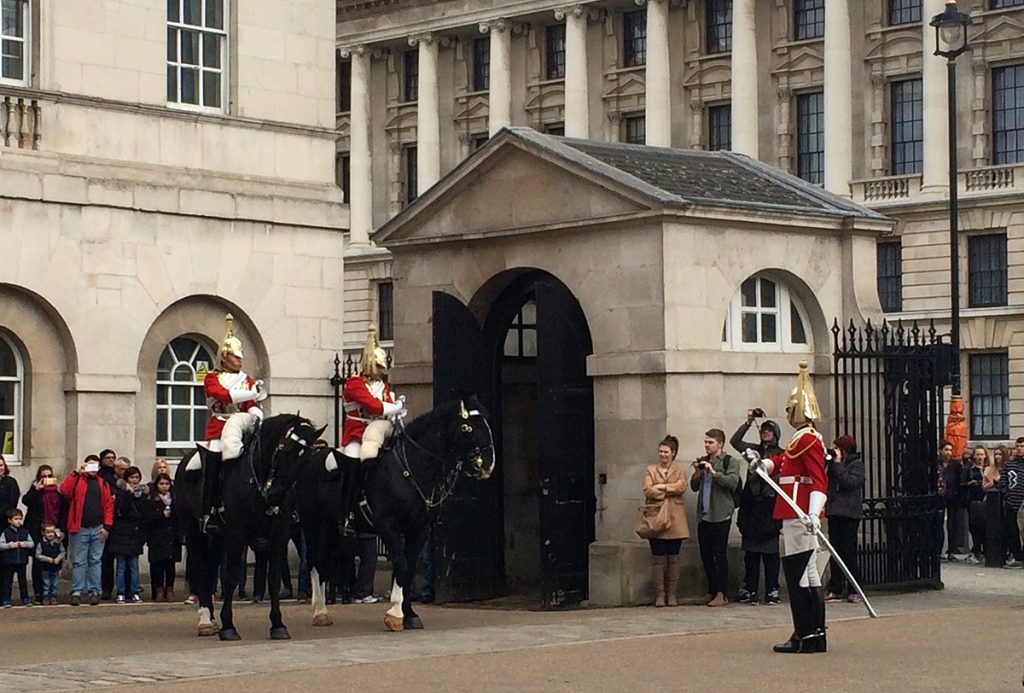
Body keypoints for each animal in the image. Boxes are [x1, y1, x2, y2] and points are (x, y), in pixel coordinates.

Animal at [172, 413, 323, 638]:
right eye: (284, 449)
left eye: (305, 461)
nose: (274, 496)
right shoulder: (237, 534)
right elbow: (231, 577)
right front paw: (228, 626)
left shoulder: (279, 535)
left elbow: (273, 579)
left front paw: (278, 624)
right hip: (193, 531)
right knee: (199, 568)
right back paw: (205, 621)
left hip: (217, 537)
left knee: (210, 571)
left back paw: (211, 618)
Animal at [296, 397, 495, 630]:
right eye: (467, 427)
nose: (488, 465)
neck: (411, 469)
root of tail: (310, 460)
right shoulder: (388, 525)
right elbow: (400, 563)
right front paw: (394, 613)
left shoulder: (418, 529)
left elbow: (409, 568)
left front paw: (409, 614)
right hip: (313, 525)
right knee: (314, 562)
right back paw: (320, 611)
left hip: (333, 528)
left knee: (325, 562)